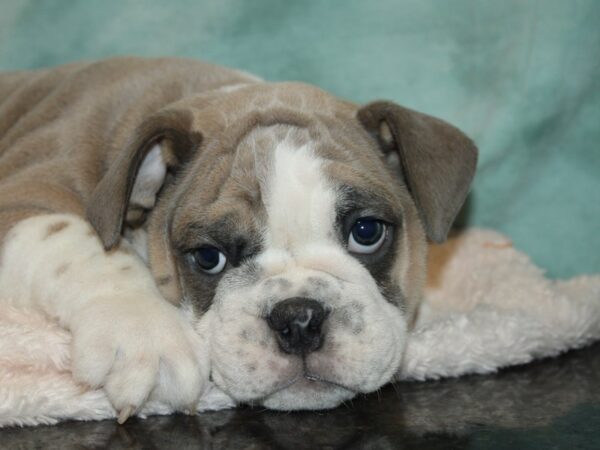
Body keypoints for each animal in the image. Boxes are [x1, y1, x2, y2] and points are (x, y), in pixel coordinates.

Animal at [0, 57, 478, 422]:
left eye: (366, 232)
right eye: (209, 257)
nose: (299, 318)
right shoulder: (23, 197)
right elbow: (73, 238)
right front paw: (145, 333)